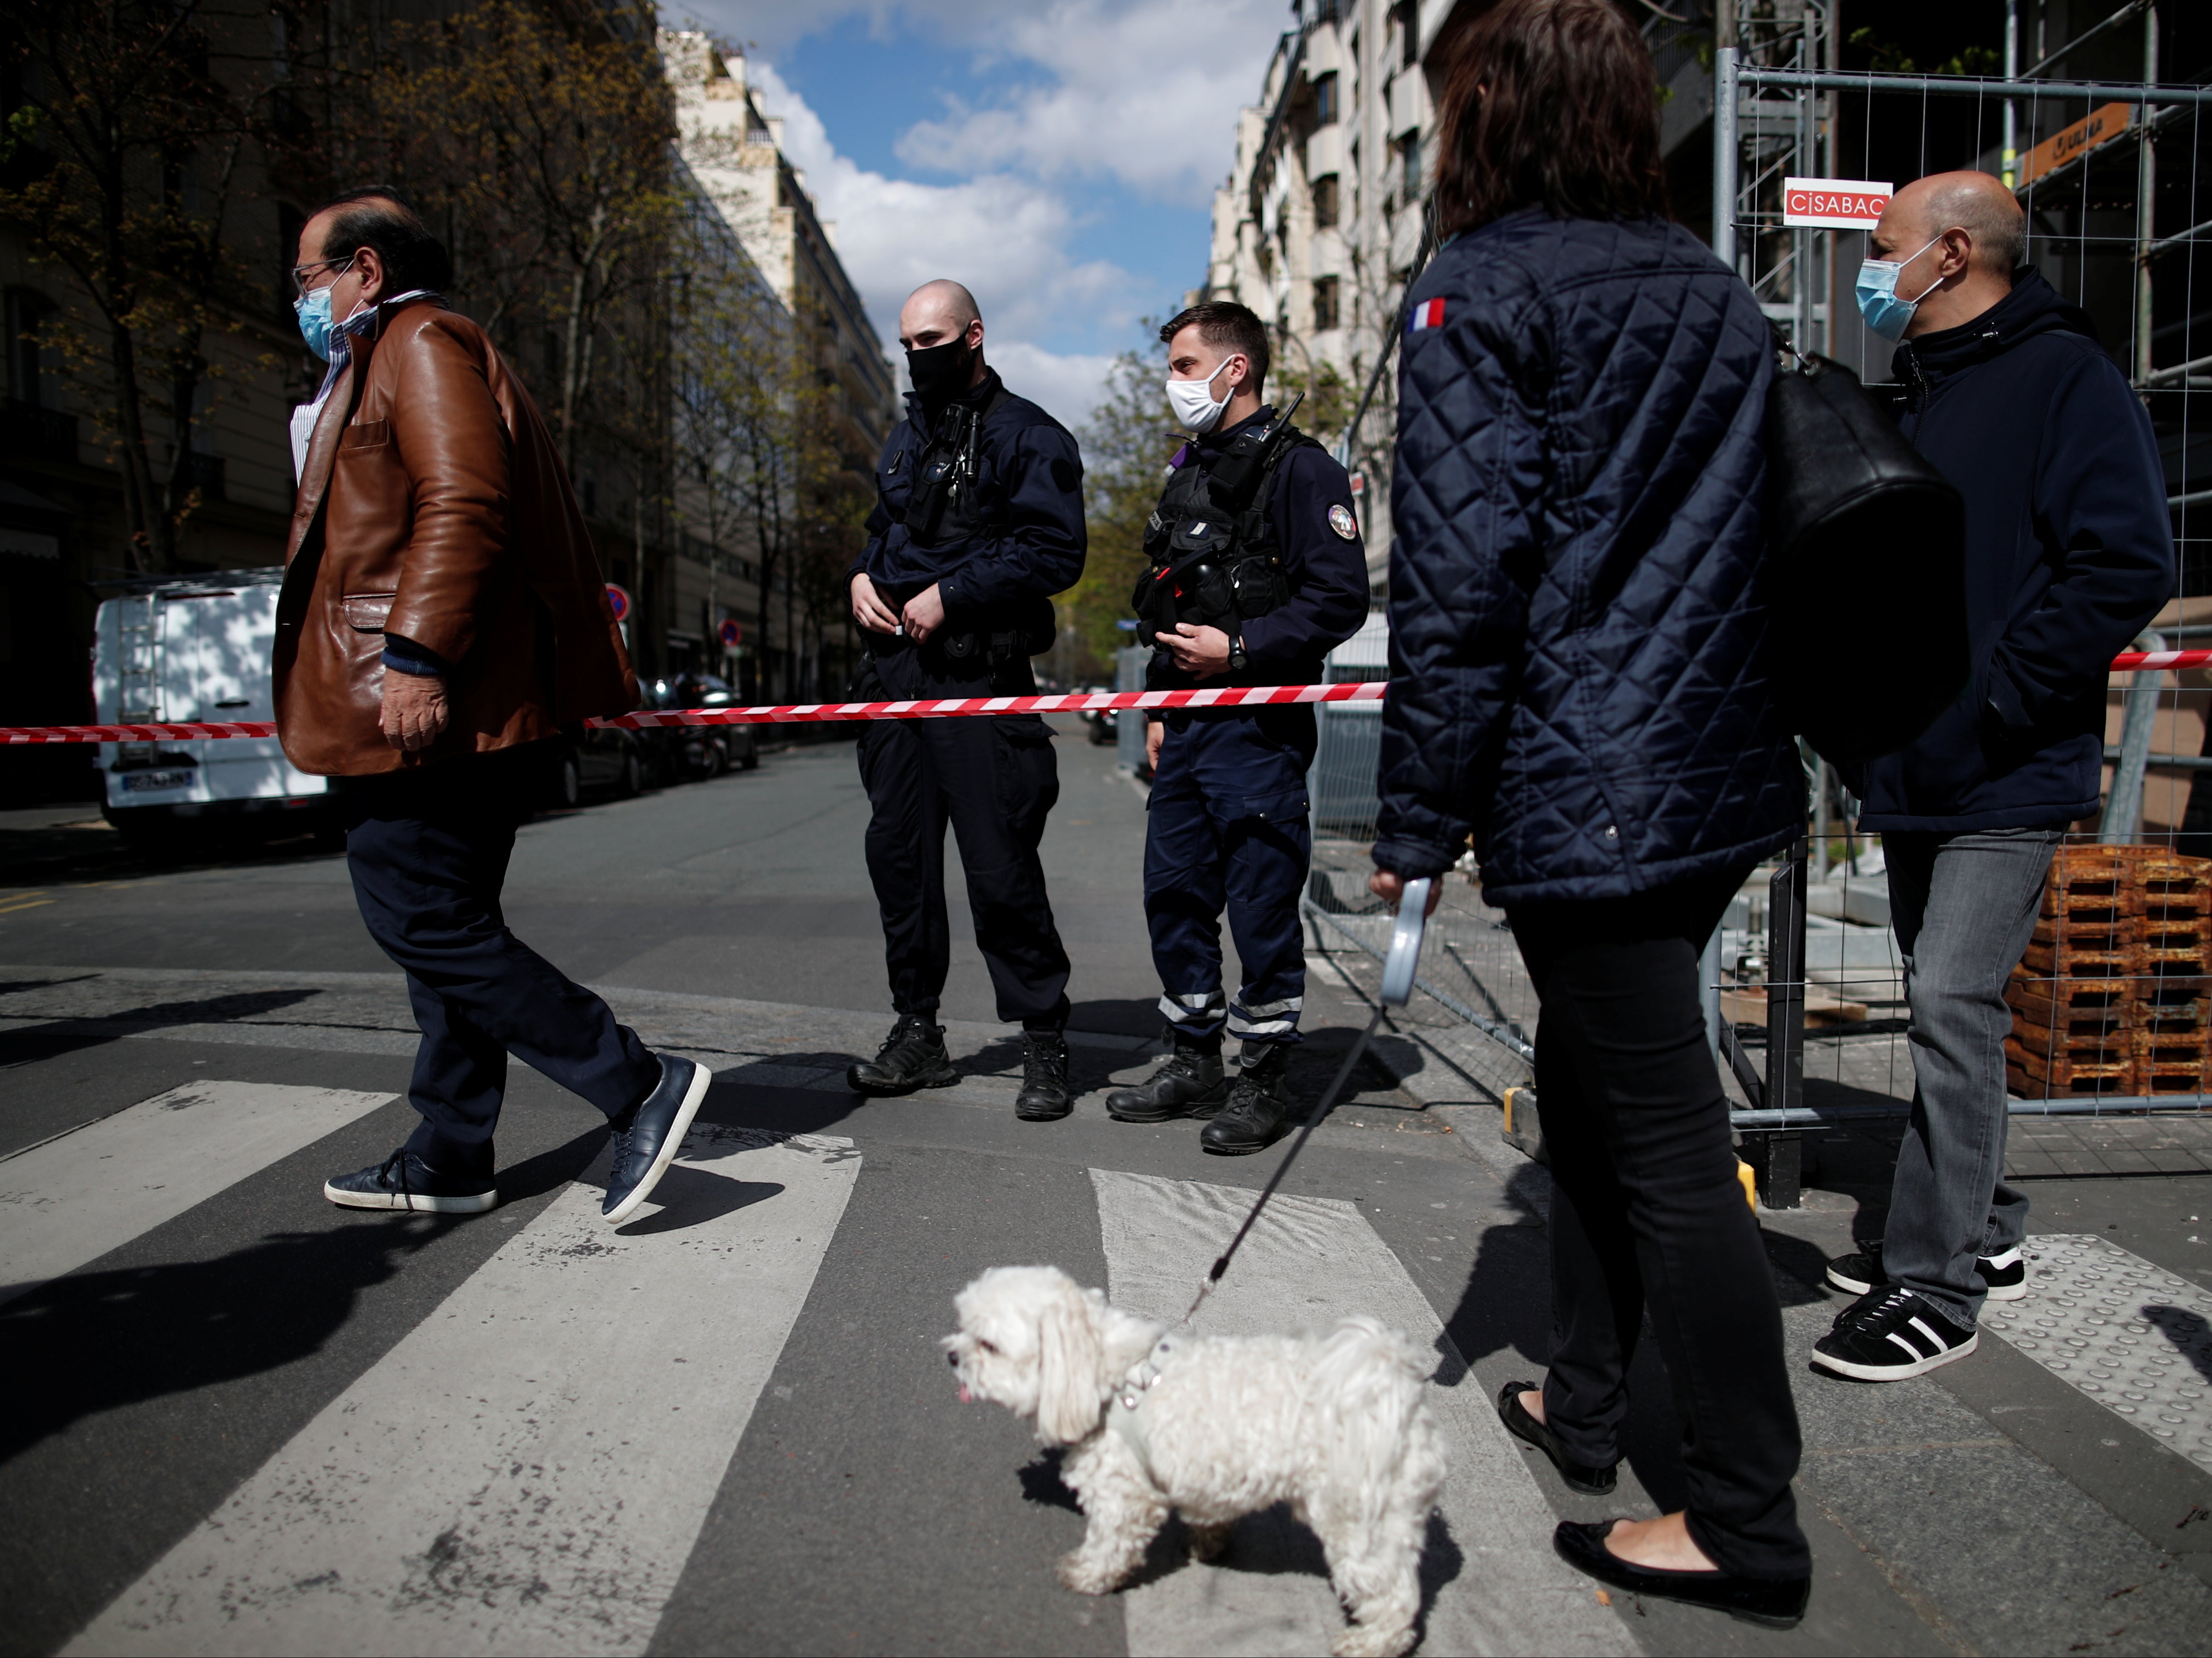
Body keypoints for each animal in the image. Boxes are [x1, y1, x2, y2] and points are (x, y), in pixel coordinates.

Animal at [942, 1264, 1442, 1653]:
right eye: (962, 1325)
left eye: (988, 1345)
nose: (951, 1355)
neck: (1106, 1372)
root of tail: (1394, 1392)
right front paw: (1207, 1541)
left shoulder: (1124, 1495)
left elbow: (1108, 1542)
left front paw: (1086, 1573)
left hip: (1359, 1520)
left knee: (1392, 1593)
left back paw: (1371, 1642)